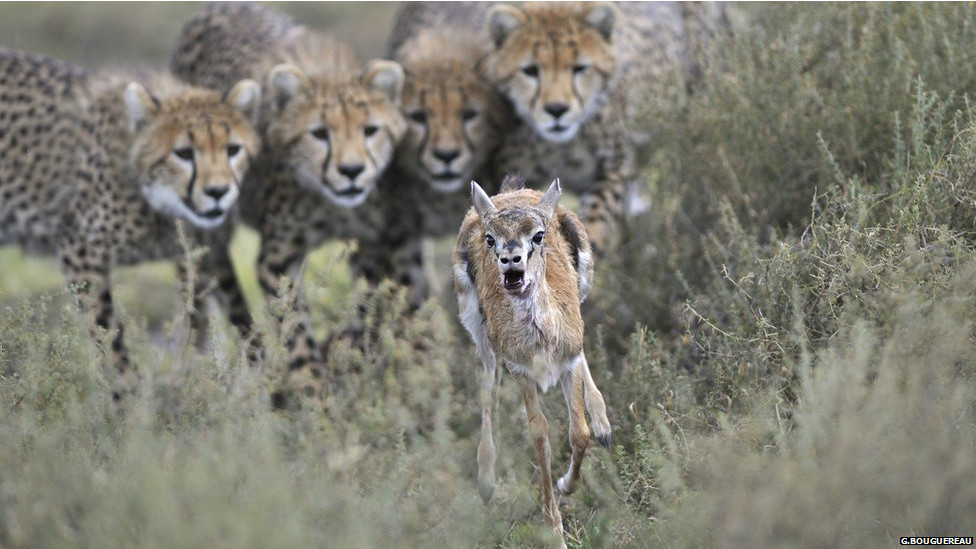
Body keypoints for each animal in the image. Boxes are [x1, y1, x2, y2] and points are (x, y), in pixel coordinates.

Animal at [0, 48, 262, 398]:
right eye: (183, 153)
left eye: (232, 149)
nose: (218, 192)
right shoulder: (79, 251)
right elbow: (108, 335)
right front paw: (128, 399)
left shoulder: (208, 253)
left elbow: (236, 317)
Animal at [170, 2, 406, 400]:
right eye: (319, 133)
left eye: (370, 130)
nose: (351, 171)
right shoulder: (277, 258)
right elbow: (294, 326)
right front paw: (313, 391)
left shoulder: (373, 245)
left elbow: (365, 306)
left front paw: (355, 358)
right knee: (207, 290)